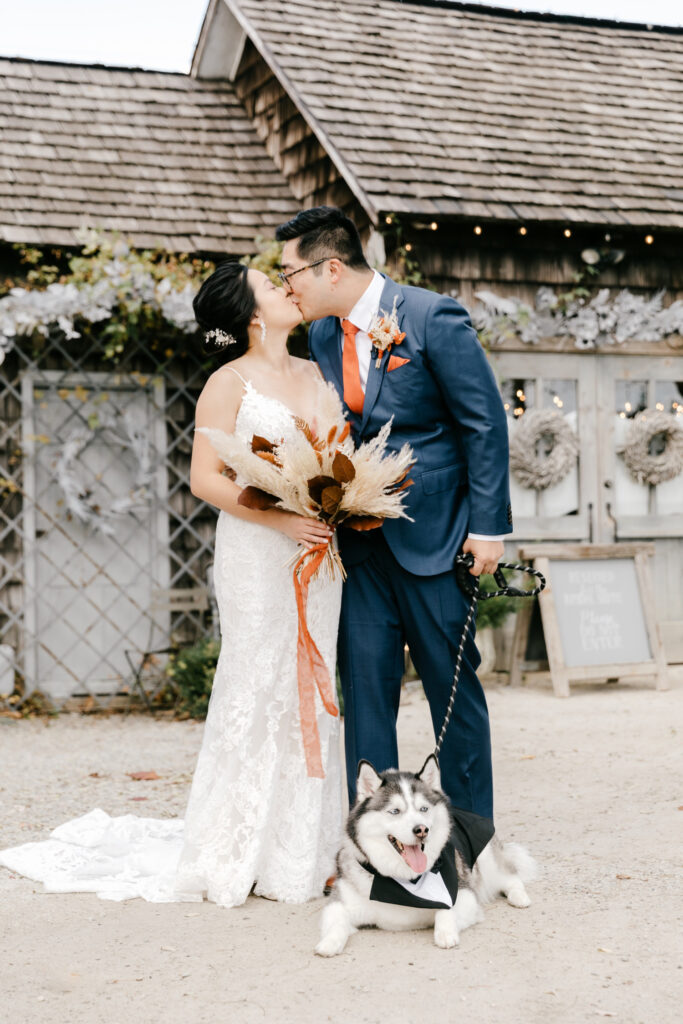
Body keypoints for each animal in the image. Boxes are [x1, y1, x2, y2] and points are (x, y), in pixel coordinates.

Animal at [317, 753, 540, 958]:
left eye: (423, 809)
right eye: (395, 811)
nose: (421, 830)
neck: (403, 880)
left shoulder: (464, 894)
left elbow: (446, 907)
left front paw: (445, 933)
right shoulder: (339, 903)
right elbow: (336, 922)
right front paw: (329, 943)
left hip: (487, 860)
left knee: (510, 877)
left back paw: (519, 896)